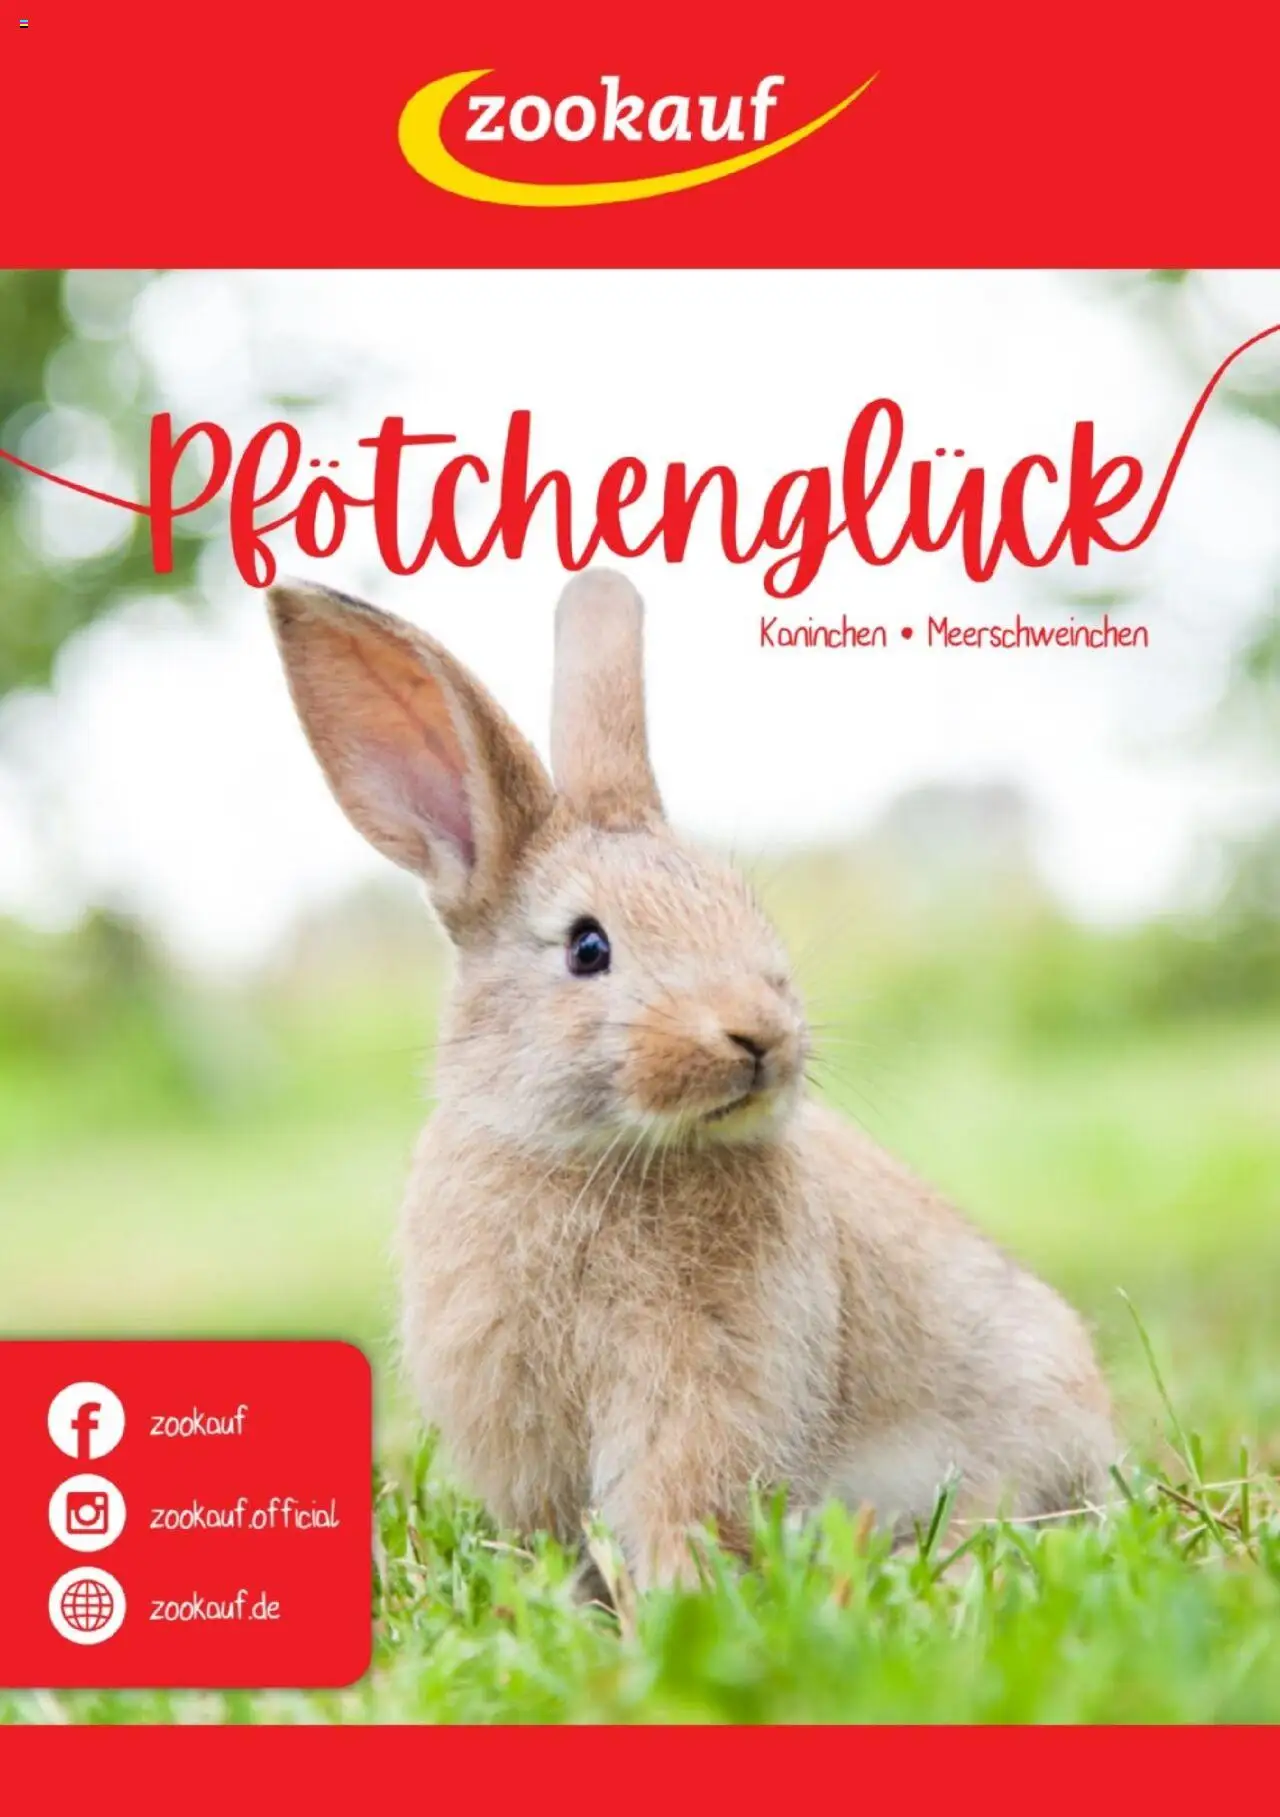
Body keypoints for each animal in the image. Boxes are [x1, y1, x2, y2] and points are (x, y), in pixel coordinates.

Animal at [267, 568, 1115, 1591]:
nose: (760, 1034)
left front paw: (677, 1599)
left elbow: (676, 1506)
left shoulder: (702, 1393)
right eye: (588, 947)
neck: (592, 1152)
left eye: (742, 906)